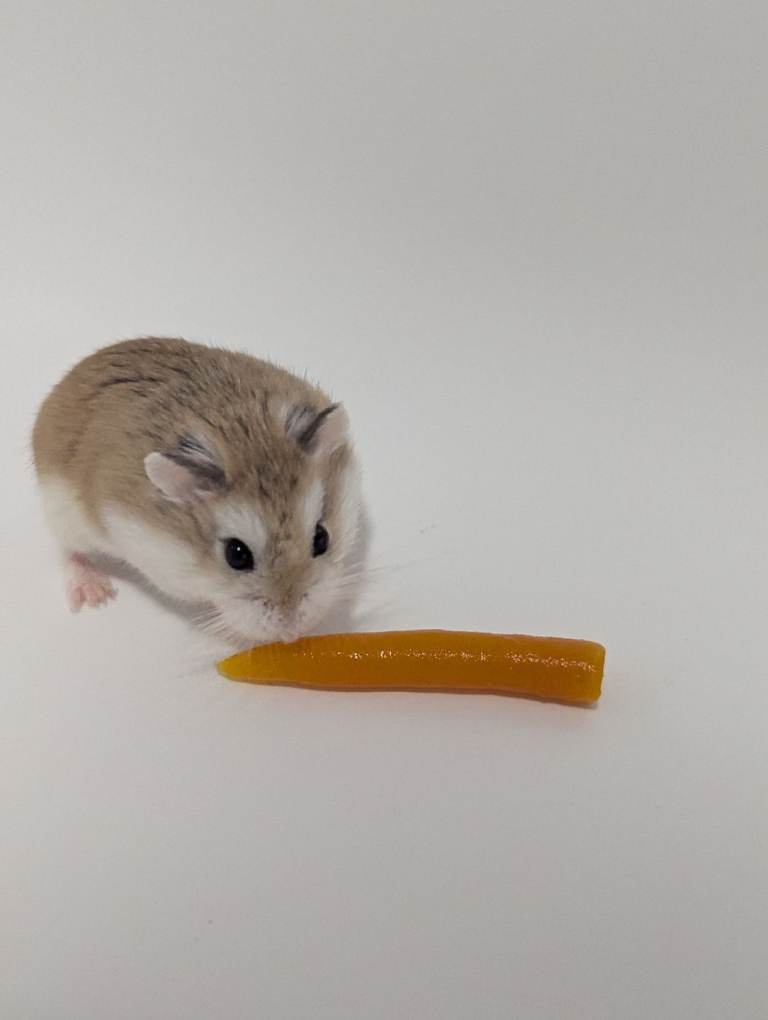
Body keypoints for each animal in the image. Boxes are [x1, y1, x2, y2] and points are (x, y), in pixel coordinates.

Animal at [32, 337, 361, 645]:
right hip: (64, 514)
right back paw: (95, 595)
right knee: (70, 551)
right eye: (236, 555)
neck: (248, 447)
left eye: (322, 538)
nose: (293, 632)